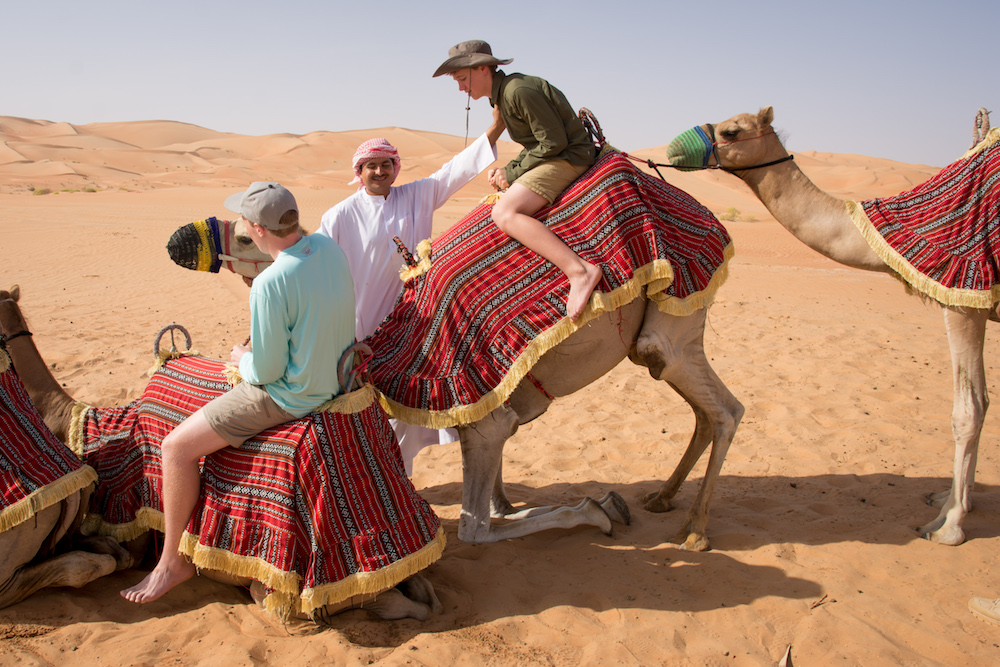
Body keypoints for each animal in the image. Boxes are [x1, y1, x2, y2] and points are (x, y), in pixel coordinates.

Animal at [664, 107, 992, 548]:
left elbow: (968, 410)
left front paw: (949, 525)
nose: (672, 148)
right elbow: (981, 403)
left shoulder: (965, 297)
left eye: (732, 131)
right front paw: (954, 502)